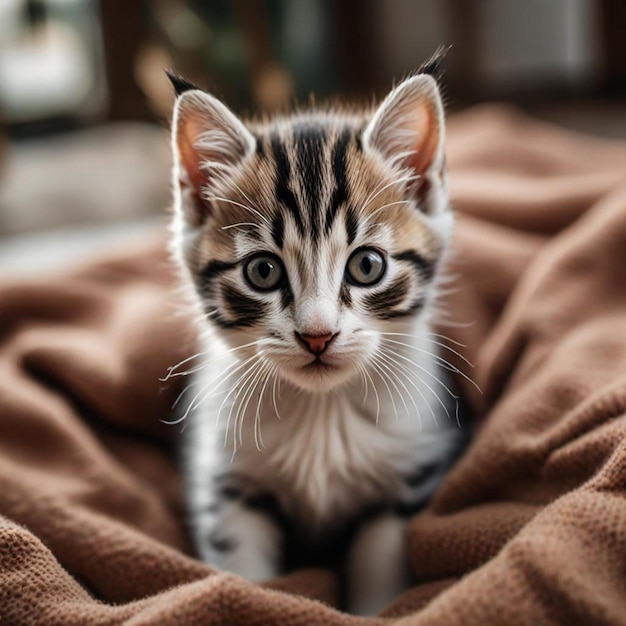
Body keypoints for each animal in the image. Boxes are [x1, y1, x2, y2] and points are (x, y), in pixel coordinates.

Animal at [166, 66, 464, 612]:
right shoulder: (229, 485)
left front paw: (377, 610)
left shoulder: (408, 475)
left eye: (367, 265)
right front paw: (246, 599)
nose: (318, 335)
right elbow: (240, 566)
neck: (322, 412)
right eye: (262, 271)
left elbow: (381, 562)